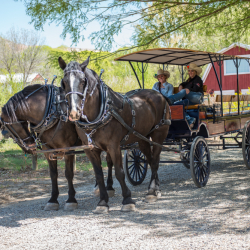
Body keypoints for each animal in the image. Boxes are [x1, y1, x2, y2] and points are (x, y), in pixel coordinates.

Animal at [58, 56, 172, 213]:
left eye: (82, 81)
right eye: (64, 82)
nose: (74, 112)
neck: (102, 111)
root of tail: (158, 94)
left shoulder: (113, 146)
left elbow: (119, 172)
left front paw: (127, 200)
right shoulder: (90, 149)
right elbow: (99, 175)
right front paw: (102, 202)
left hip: (159, 134)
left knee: (155, 161)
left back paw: (152, 192)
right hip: (142, 138)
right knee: (150, 159)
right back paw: (156, 187)